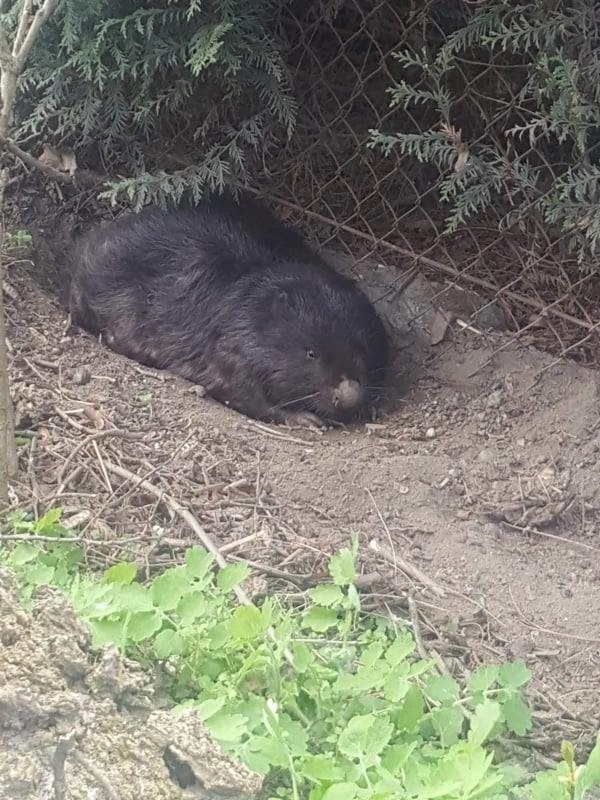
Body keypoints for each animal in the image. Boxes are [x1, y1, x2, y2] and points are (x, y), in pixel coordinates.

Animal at [69, 191, 390, 428]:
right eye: (311, 353)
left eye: (362, 348)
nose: (348, 396)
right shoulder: (231, 340)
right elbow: (237, 388)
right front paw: (305, 419)